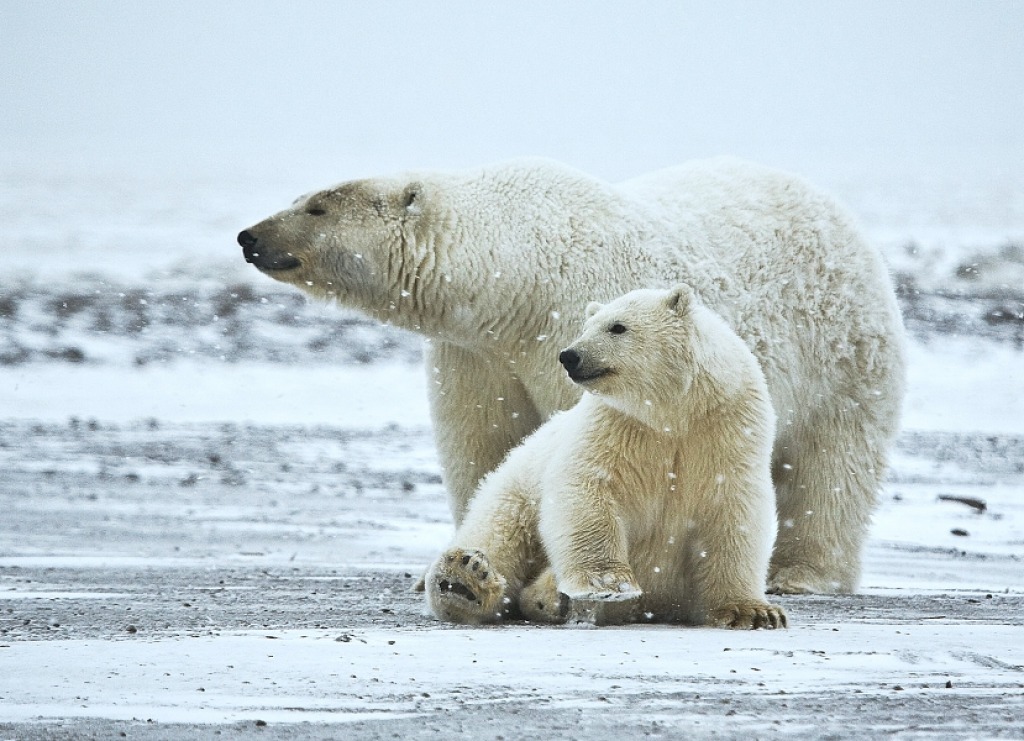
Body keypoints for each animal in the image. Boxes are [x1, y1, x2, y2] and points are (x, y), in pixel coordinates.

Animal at [423, 286, 782, 626]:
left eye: (617, 327)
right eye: (587, 326)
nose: (569, 355)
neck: (673, 413)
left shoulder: (728, 430)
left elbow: (734, 512)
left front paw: (753, 612)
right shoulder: (615, 424)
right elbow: (588, 487)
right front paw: (607, 583)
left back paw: (545, 595)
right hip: (516, 490)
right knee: (500, 533)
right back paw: (465, 580)